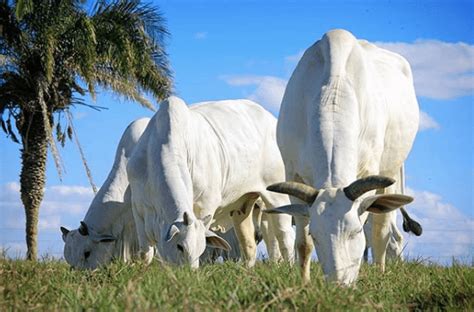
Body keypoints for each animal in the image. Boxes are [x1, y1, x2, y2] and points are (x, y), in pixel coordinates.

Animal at [128, 97, 294, 268]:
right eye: (180, 246)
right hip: (242, 206)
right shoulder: (138, 208)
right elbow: (145, 254)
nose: (189, 272)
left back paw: (289, 266)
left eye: (199, 249)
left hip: (277, 196)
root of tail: (271, 119)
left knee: (284, 235)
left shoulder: (205, 205)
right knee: (249, 244)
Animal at [266, 29, 418, 286]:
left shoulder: (370, 172)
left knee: (381, 231)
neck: (333, 93)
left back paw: (380, 272)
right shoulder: (293, 173)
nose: (339, 284)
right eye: (316, 235)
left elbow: (371, 232)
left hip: (390, 172)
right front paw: (304, 282)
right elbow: (302, 243)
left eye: (354, 232)